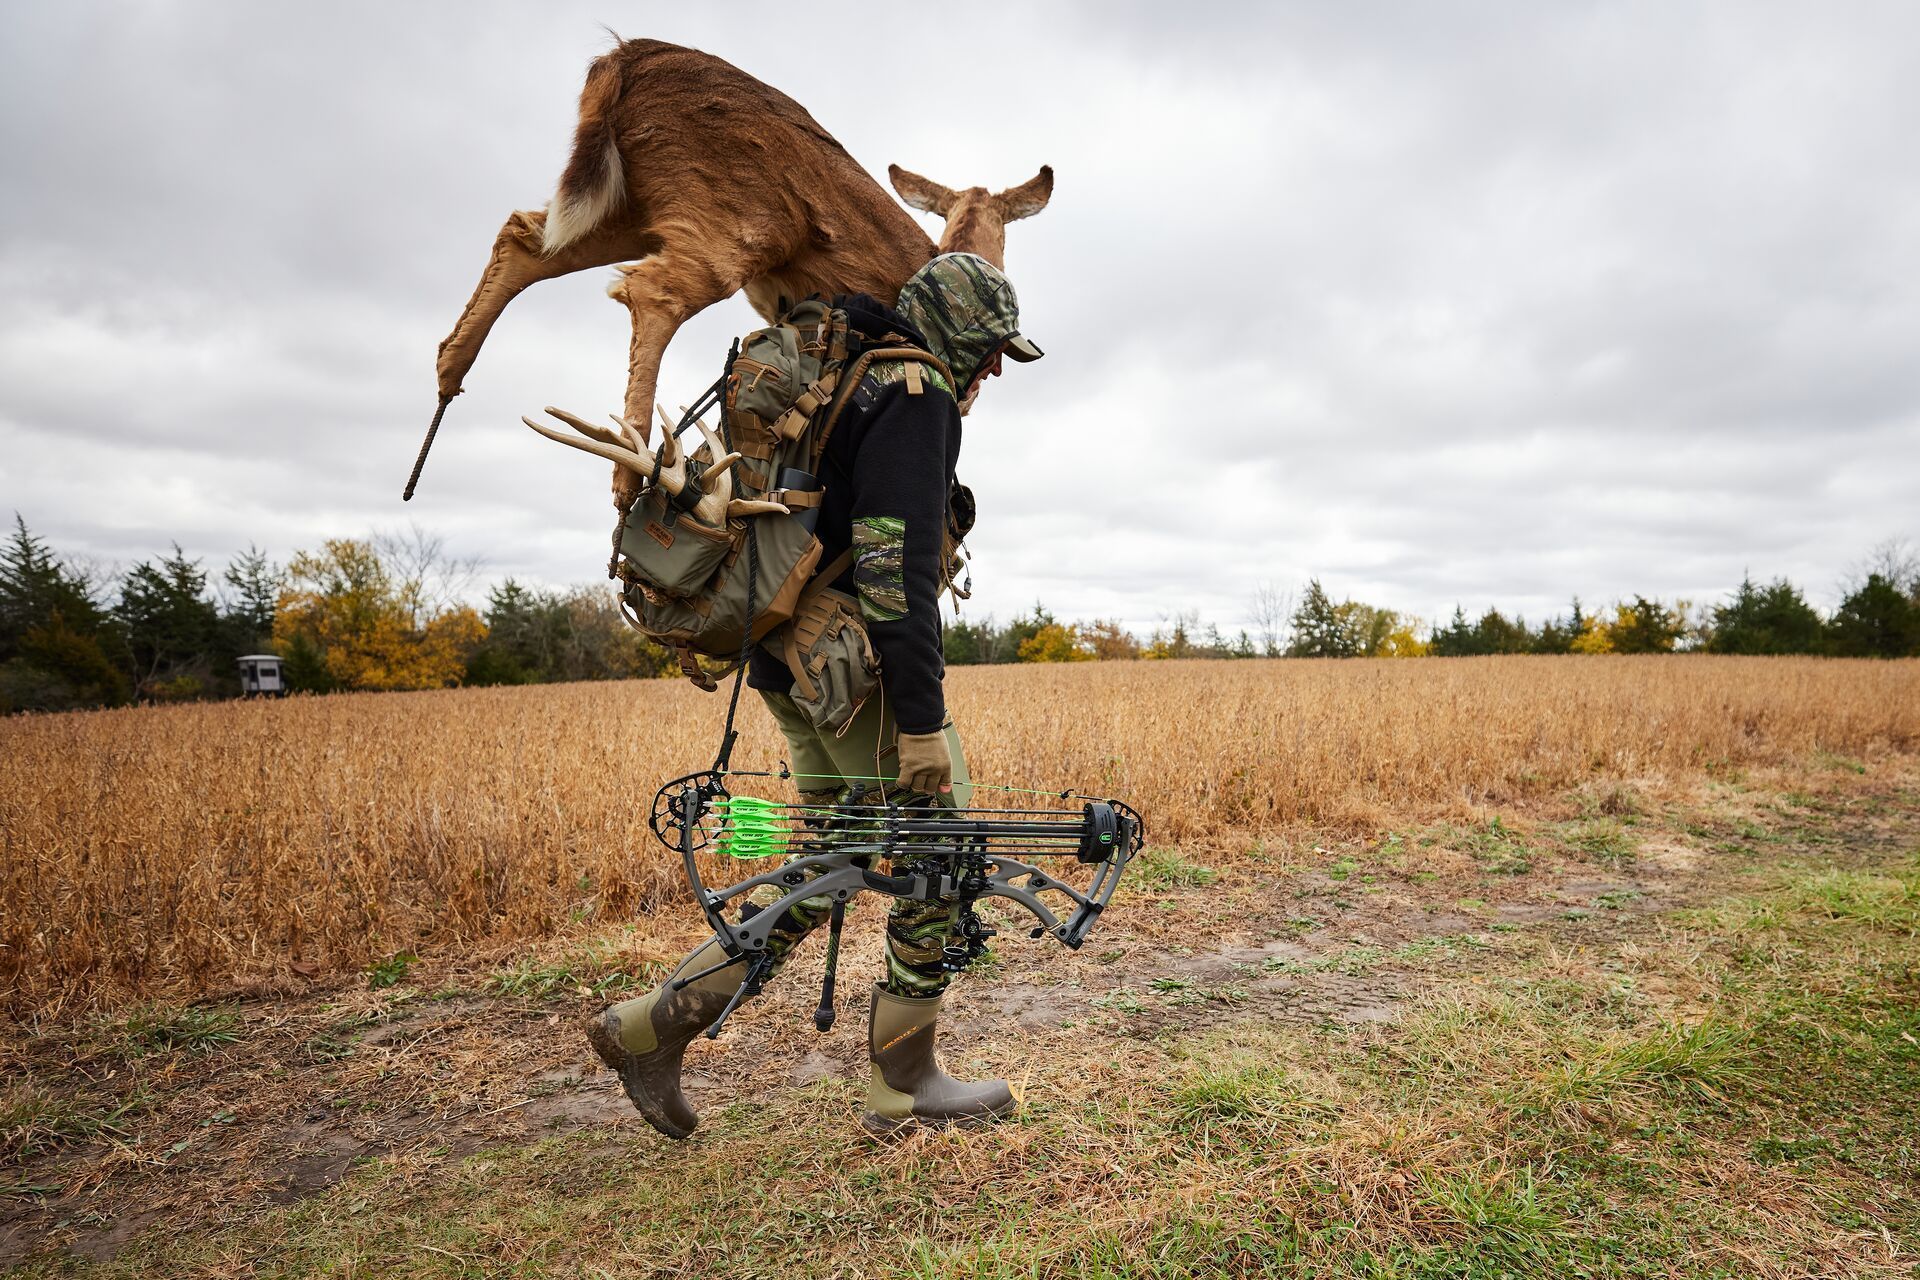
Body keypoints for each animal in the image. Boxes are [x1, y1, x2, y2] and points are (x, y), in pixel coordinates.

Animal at [407, 37, 1053, 503]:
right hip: (736, 216)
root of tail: (623, 58)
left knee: (524, 235)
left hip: (634, 204)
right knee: (650, 291)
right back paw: (630, 476)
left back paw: (448, 375)